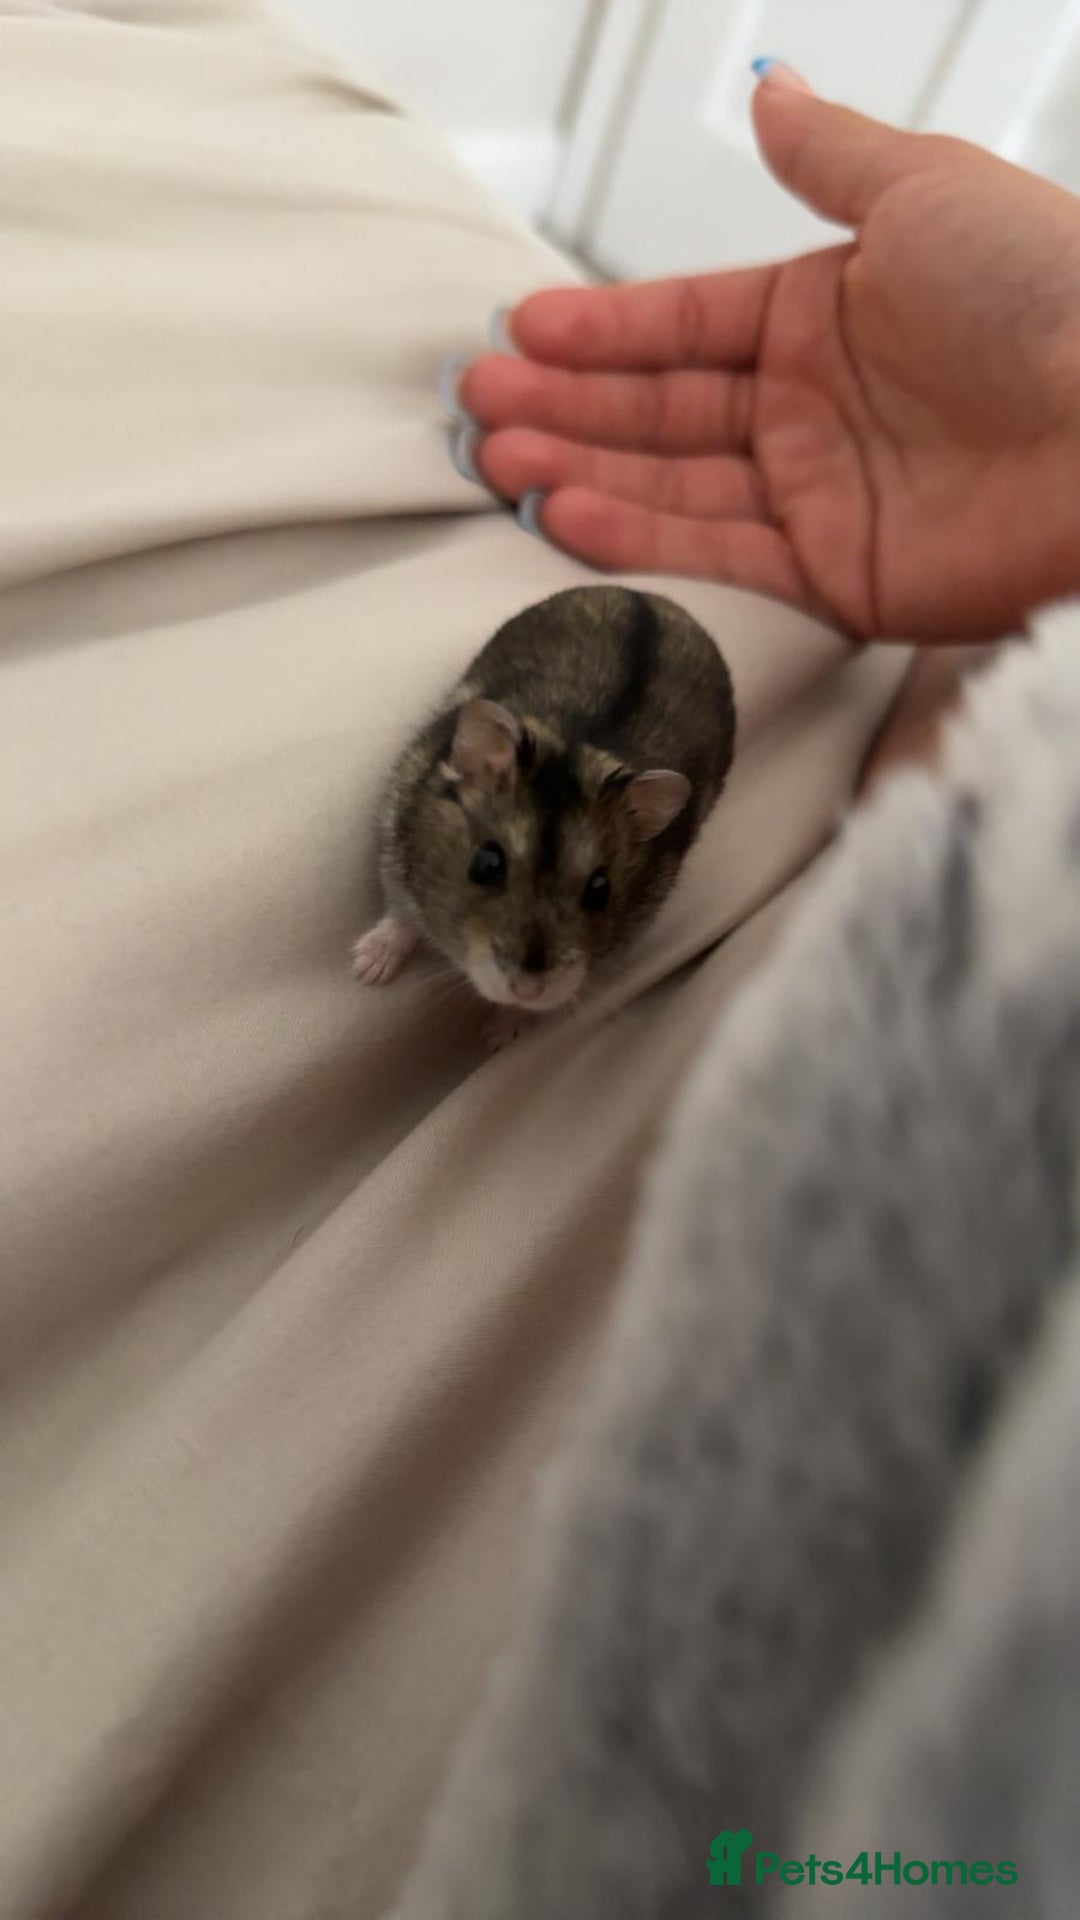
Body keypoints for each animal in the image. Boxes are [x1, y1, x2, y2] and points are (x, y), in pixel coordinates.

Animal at [351, 585, 735, 1029]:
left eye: (600, 891)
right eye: (485, 864)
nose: (527, 989)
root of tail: (646, 592)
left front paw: (499, 1032)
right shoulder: (394, 834)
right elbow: (400, 913)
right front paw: (365, 970)